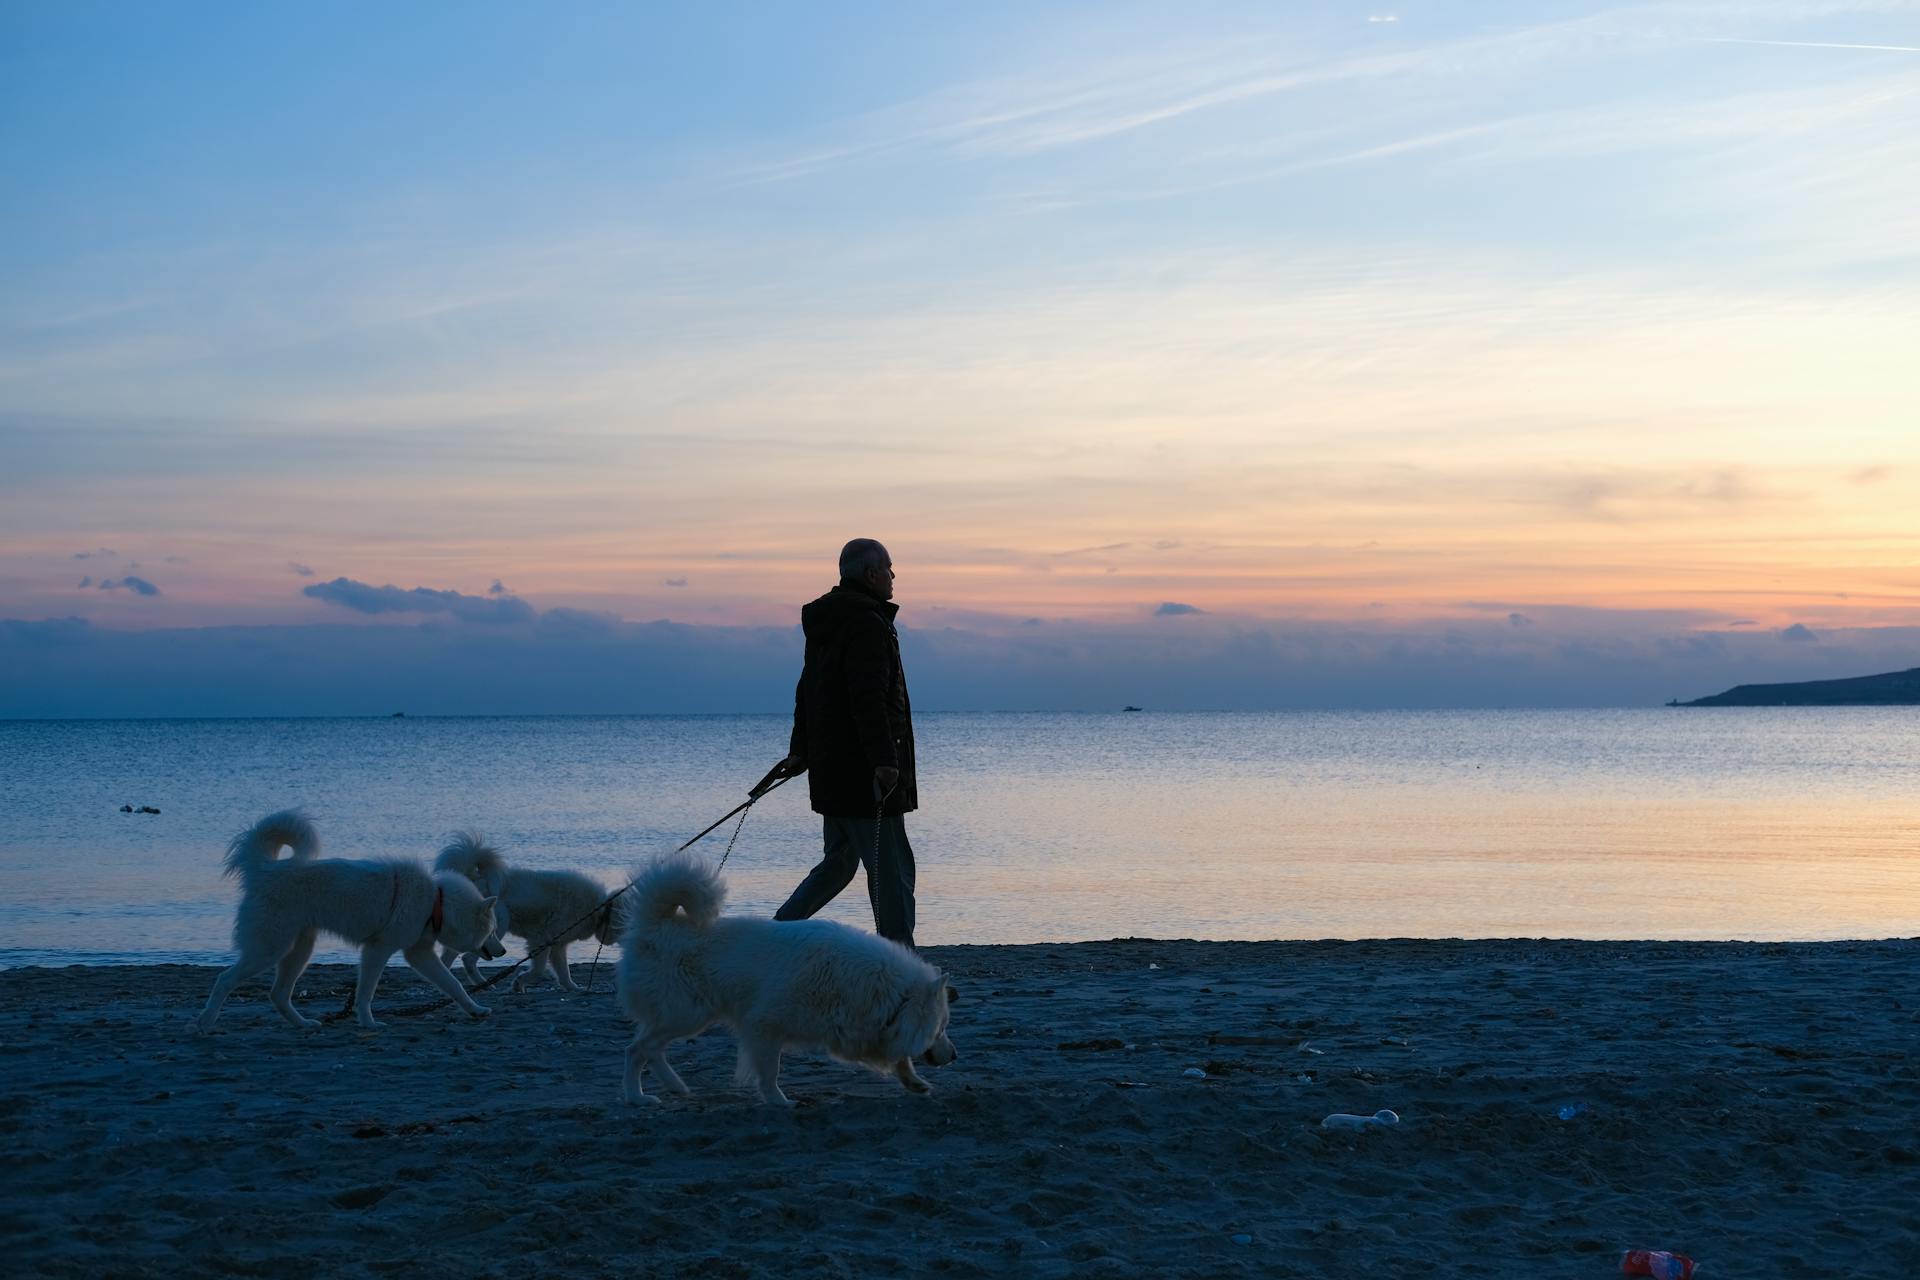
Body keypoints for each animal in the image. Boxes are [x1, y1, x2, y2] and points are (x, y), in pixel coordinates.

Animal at [435, 832, 622, 990]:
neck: (598, 910)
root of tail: (475, 879)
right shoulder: (541, 940)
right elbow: (539, 971)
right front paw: (519, 983)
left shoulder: (557, 945)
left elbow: (563, 972)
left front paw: (573, 988)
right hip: (498, 927)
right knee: (467, 959)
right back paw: (483, 984)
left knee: (449, 959)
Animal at [618, 852, 956, 1113]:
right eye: (940, 1029)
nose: (954, 1056)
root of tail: (655, 926)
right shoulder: (763, 1027)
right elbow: (770, 1072)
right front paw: (779, 1102)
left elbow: (900, 1059)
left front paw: (915, 1083)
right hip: (687, 1014)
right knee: (639, 1049)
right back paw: (646, 1094)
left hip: (683, 1016)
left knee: (647, 1048)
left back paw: (665, 1089)